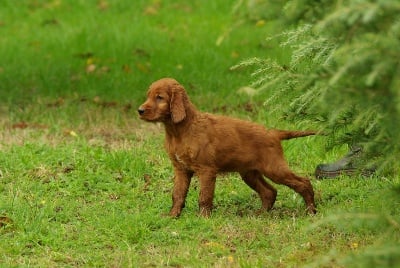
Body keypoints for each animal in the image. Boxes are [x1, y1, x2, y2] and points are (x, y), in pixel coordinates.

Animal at [139, 78, 318, 218]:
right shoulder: (181, 169)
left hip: (274, 168)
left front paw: (203, 218)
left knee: (303, 182)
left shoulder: (206, 170)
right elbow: (177, 194)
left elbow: (204, 196)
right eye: (148, 96)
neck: (179, 130)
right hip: (249, 172)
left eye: (159, 97)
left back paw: (311, 210)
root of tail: (273, 133)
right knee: (269, 192)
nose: (139, 110)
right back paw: (260, 213)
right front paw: (173, 215)